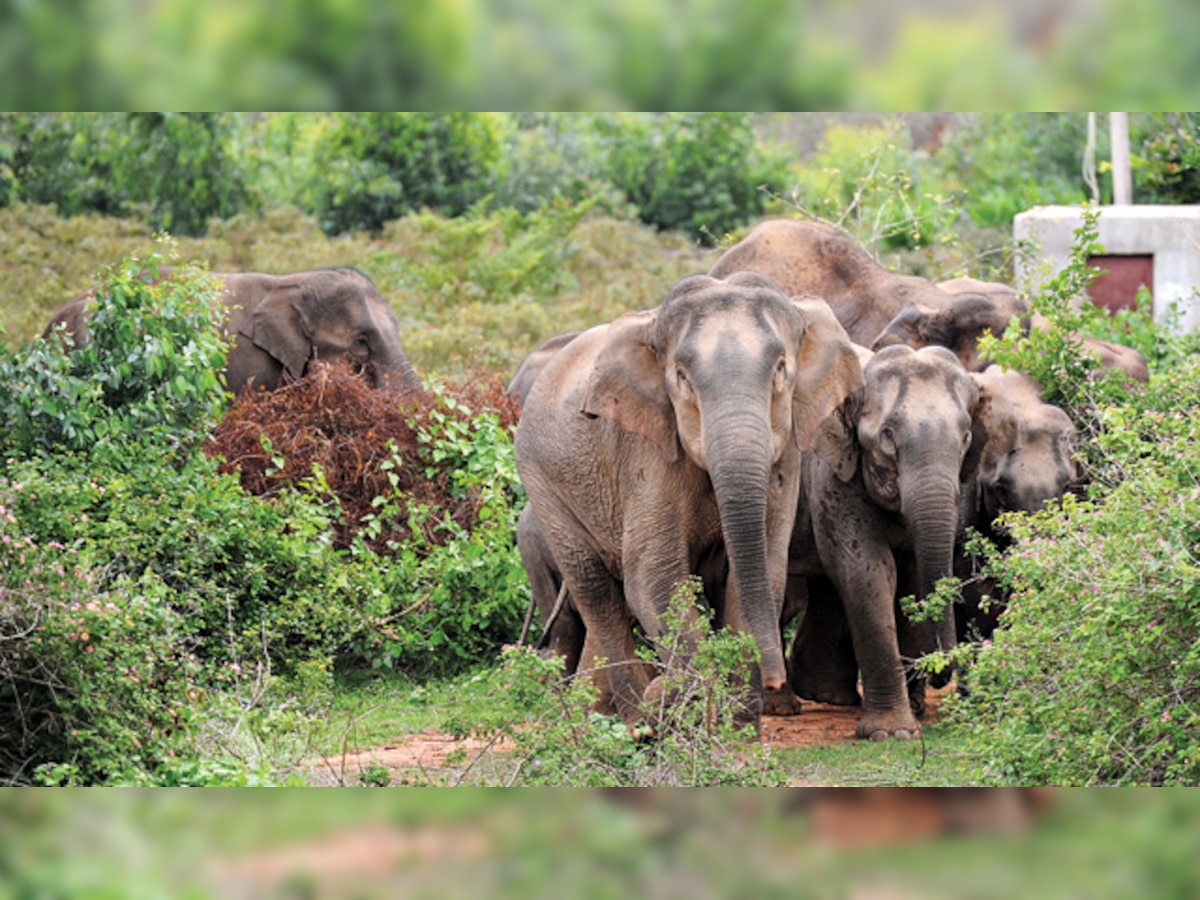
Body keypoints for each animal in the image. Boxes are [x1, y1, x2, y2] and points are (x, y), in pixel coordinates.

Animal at [513, 271, 864, 729]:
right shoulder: (648, 450)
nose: (775, 679)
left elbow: (762, 570)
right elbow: (655, 579)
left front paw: (737, 727)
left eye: (780, 371)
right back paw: (633, 721)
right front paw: (694, 709)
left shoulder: (787, 451)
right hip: (543, 485)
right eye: (681, 377)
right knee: (596, 592)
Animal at [782, 345, 988, 739]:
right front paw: (892, 733)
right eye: (888, 436)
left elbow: (911, 576)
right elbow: (869, 572)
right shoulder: (832, 473)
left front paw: (916, 710)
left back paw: (827, 695)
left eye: (966, 436)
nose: (941, 674)